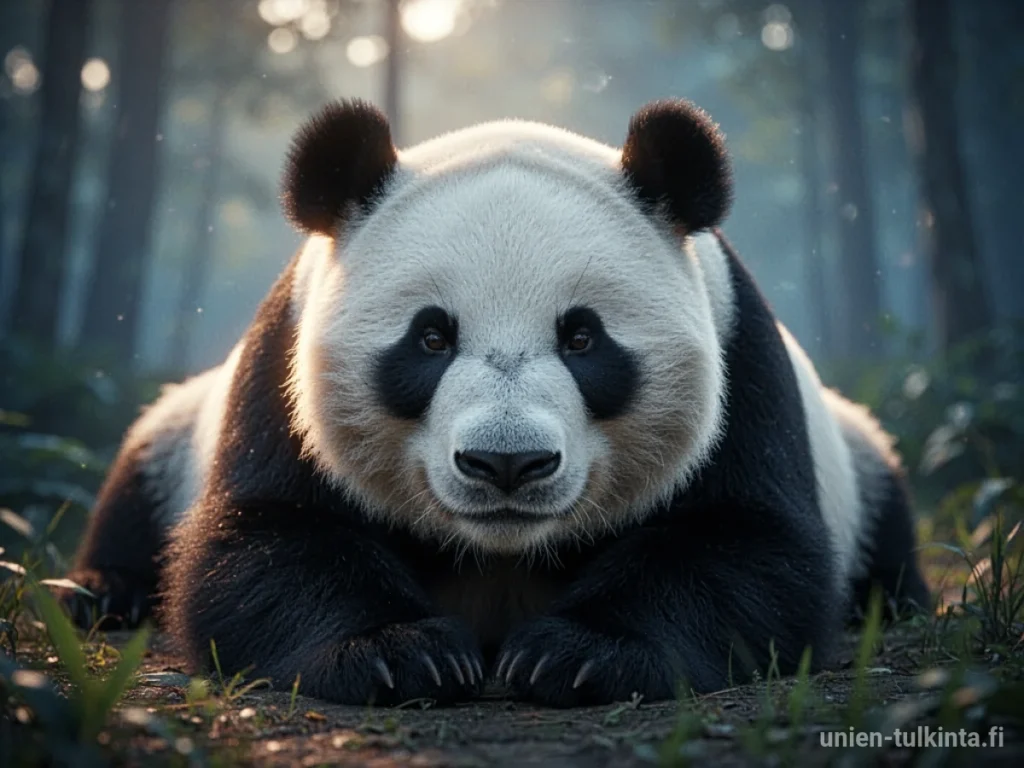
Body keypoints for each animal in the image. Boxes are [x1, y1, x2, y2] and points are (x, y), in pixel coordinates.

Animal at [61, 98, 929, 708]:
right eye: (430, 337)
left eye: (582, 338)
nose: (506, 463)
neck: (504, 548)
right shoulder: (282, 378)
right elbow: (261, 543)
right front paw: (401, 652)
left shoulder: (741, 368)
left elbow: (750, 549)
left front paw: (574, 655)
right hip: (176, 430)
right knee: (138, 489)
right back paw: (101, 594)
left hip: (857, 447)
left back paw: (899, 600)